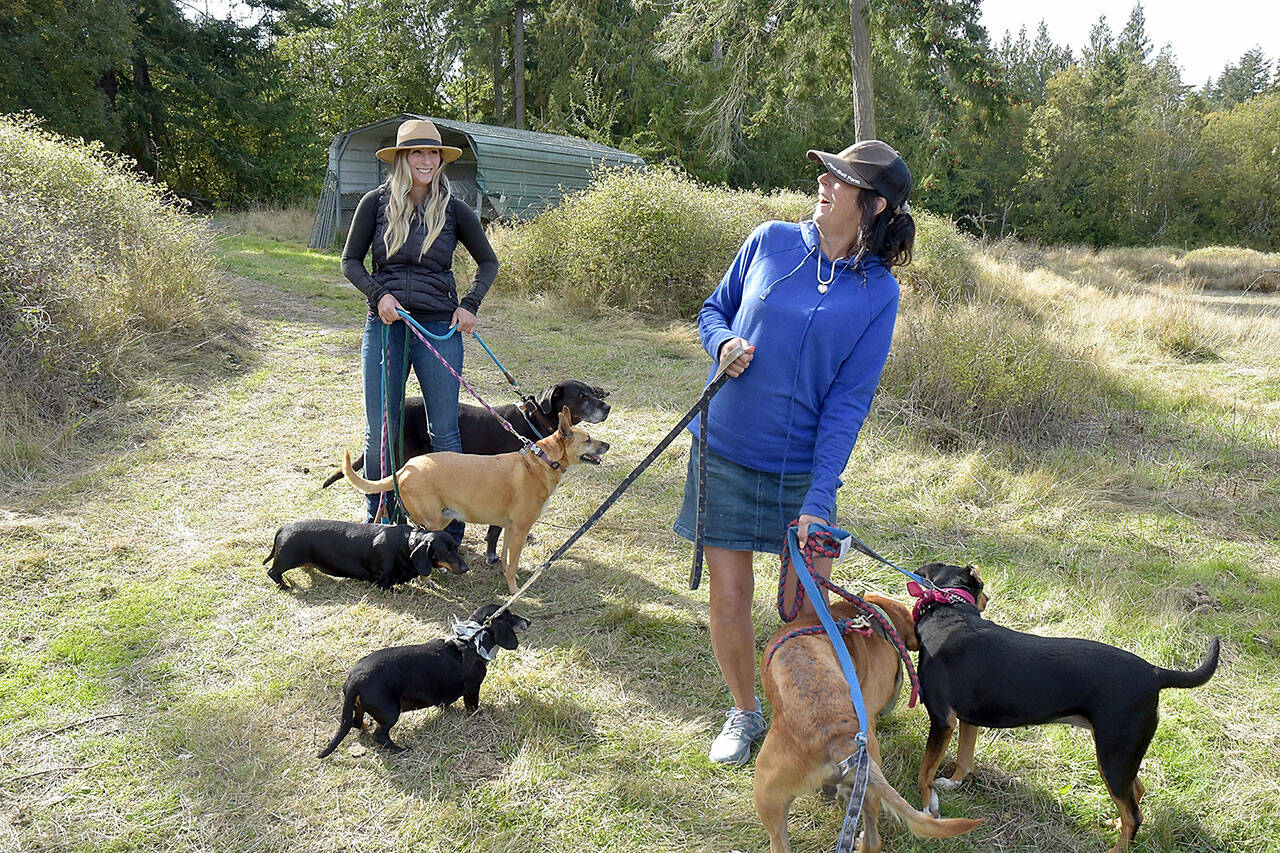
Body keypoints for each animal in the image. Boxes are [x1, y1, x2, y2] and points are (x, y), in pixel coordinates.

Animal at [262, 514, 468, 589]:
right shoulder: (380, 574)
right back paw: (283, 585)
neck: (406, 542)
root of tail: (284, 527)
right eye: (445, 551)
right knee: (272, 571)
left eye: (455, 548)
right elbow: (385, 583)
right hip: (286, 560)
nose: (466, 569)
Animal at [316, 601, 529, 753]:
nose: (528, 622)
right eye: (510, 615)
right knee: (379, 735)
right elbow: (472, 707)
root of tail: (354, 680)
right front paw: (479, 715)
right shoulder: (472, 687)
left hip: (361, 707)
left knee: (357, 722)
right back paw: (399, 749)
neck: (472, 641)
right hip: (391, 713)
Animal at [322, 379, 606, 563]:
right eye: (581, 396)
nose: (607, 407)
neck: (532, 419)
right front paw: (492, 555)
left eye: (593, 392)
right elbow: (495, 531)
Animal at [911, 560, 1218, 845]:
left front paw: (927, 810)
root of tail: (1154, 672)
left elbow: (925, 772)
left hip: (1114, 757)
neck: (948, 612)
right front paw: (953, 784)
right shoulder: (966, 719)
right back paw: (1115, 825)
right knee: (1137, 794)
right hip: (1120, 756)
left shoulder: (942, 720)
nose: (988, 597)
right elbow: (964, 758)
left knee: (1135, 815)